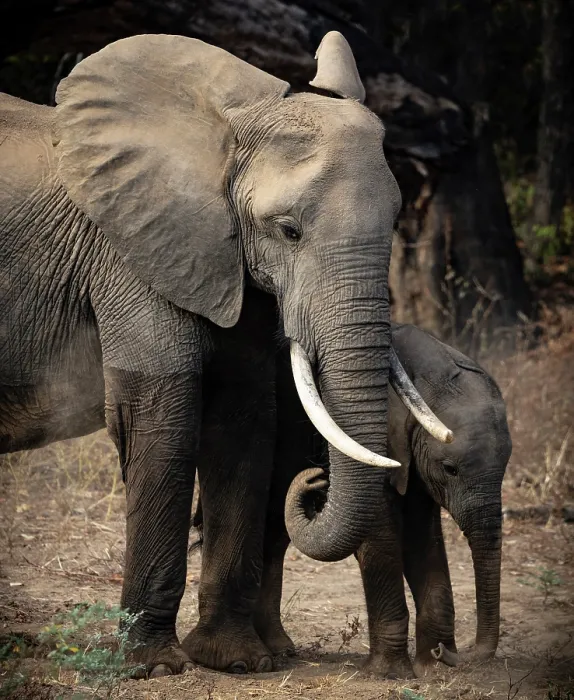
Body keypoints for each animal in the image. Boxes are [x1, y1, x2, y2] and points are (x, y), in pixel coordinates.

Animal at [0, 31, 451, 676]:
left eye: (395, 222)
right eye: (288, 230)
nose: (313, 479)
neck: (219, 137)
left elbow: (242, 420)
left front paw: (233, 660)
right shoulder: (134, 252)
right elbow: (163, 415)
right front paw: (155, 666)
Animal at [194, 323, 511, 678]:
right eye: (450, 469)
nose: (317, 477)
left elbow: (422, 538)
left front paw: (433, 667)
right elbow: (382, 537)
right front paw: (390, 673)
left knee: (274, 536)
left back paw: (279, 649)